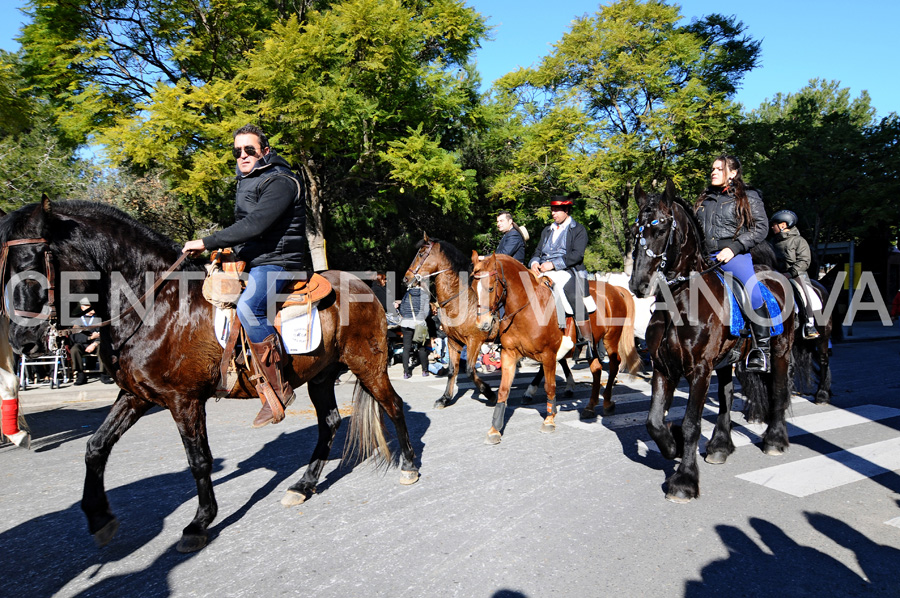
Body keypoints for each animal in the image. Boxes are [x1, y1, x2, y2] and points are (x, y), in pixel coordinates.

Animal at [0, 199, 418, 556]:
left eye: (31, 262)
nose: (21, 340)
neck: (156, 306)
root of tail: (365, 285)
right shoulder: (136, 396)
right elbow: (95, 447)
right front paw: (99, 517)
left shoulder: (183, 400)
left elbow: (199, 461)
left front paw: (199, 524)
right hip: (320, 377)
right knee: (329, 423)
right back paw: (303, 485)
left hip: (368, 365)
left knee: (394, 407)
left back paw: (410, 467)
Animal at [402, 237, 500, 410]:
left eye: (421, 253)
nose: (406, 279)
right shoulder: (454, 341)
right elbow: (452, 370)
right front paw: (445, 398)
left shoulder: (474, 341)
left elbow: (469, 370)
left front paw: (490, 393)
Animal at [624, 183, 796, 506]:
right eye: (636, 228)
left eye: (661, 227)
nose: (638, 284)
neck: (682, 299)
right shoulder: (664, 368)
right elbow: (653, 422)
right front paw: (674, 445)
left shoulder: (700, 370)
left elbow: (692, 424)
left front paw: (684, 481)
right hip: (727, 361)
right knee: (726, 397)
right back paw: (719, 446)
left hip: (780, 350)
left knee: (778, 389)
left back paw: (775, 440)